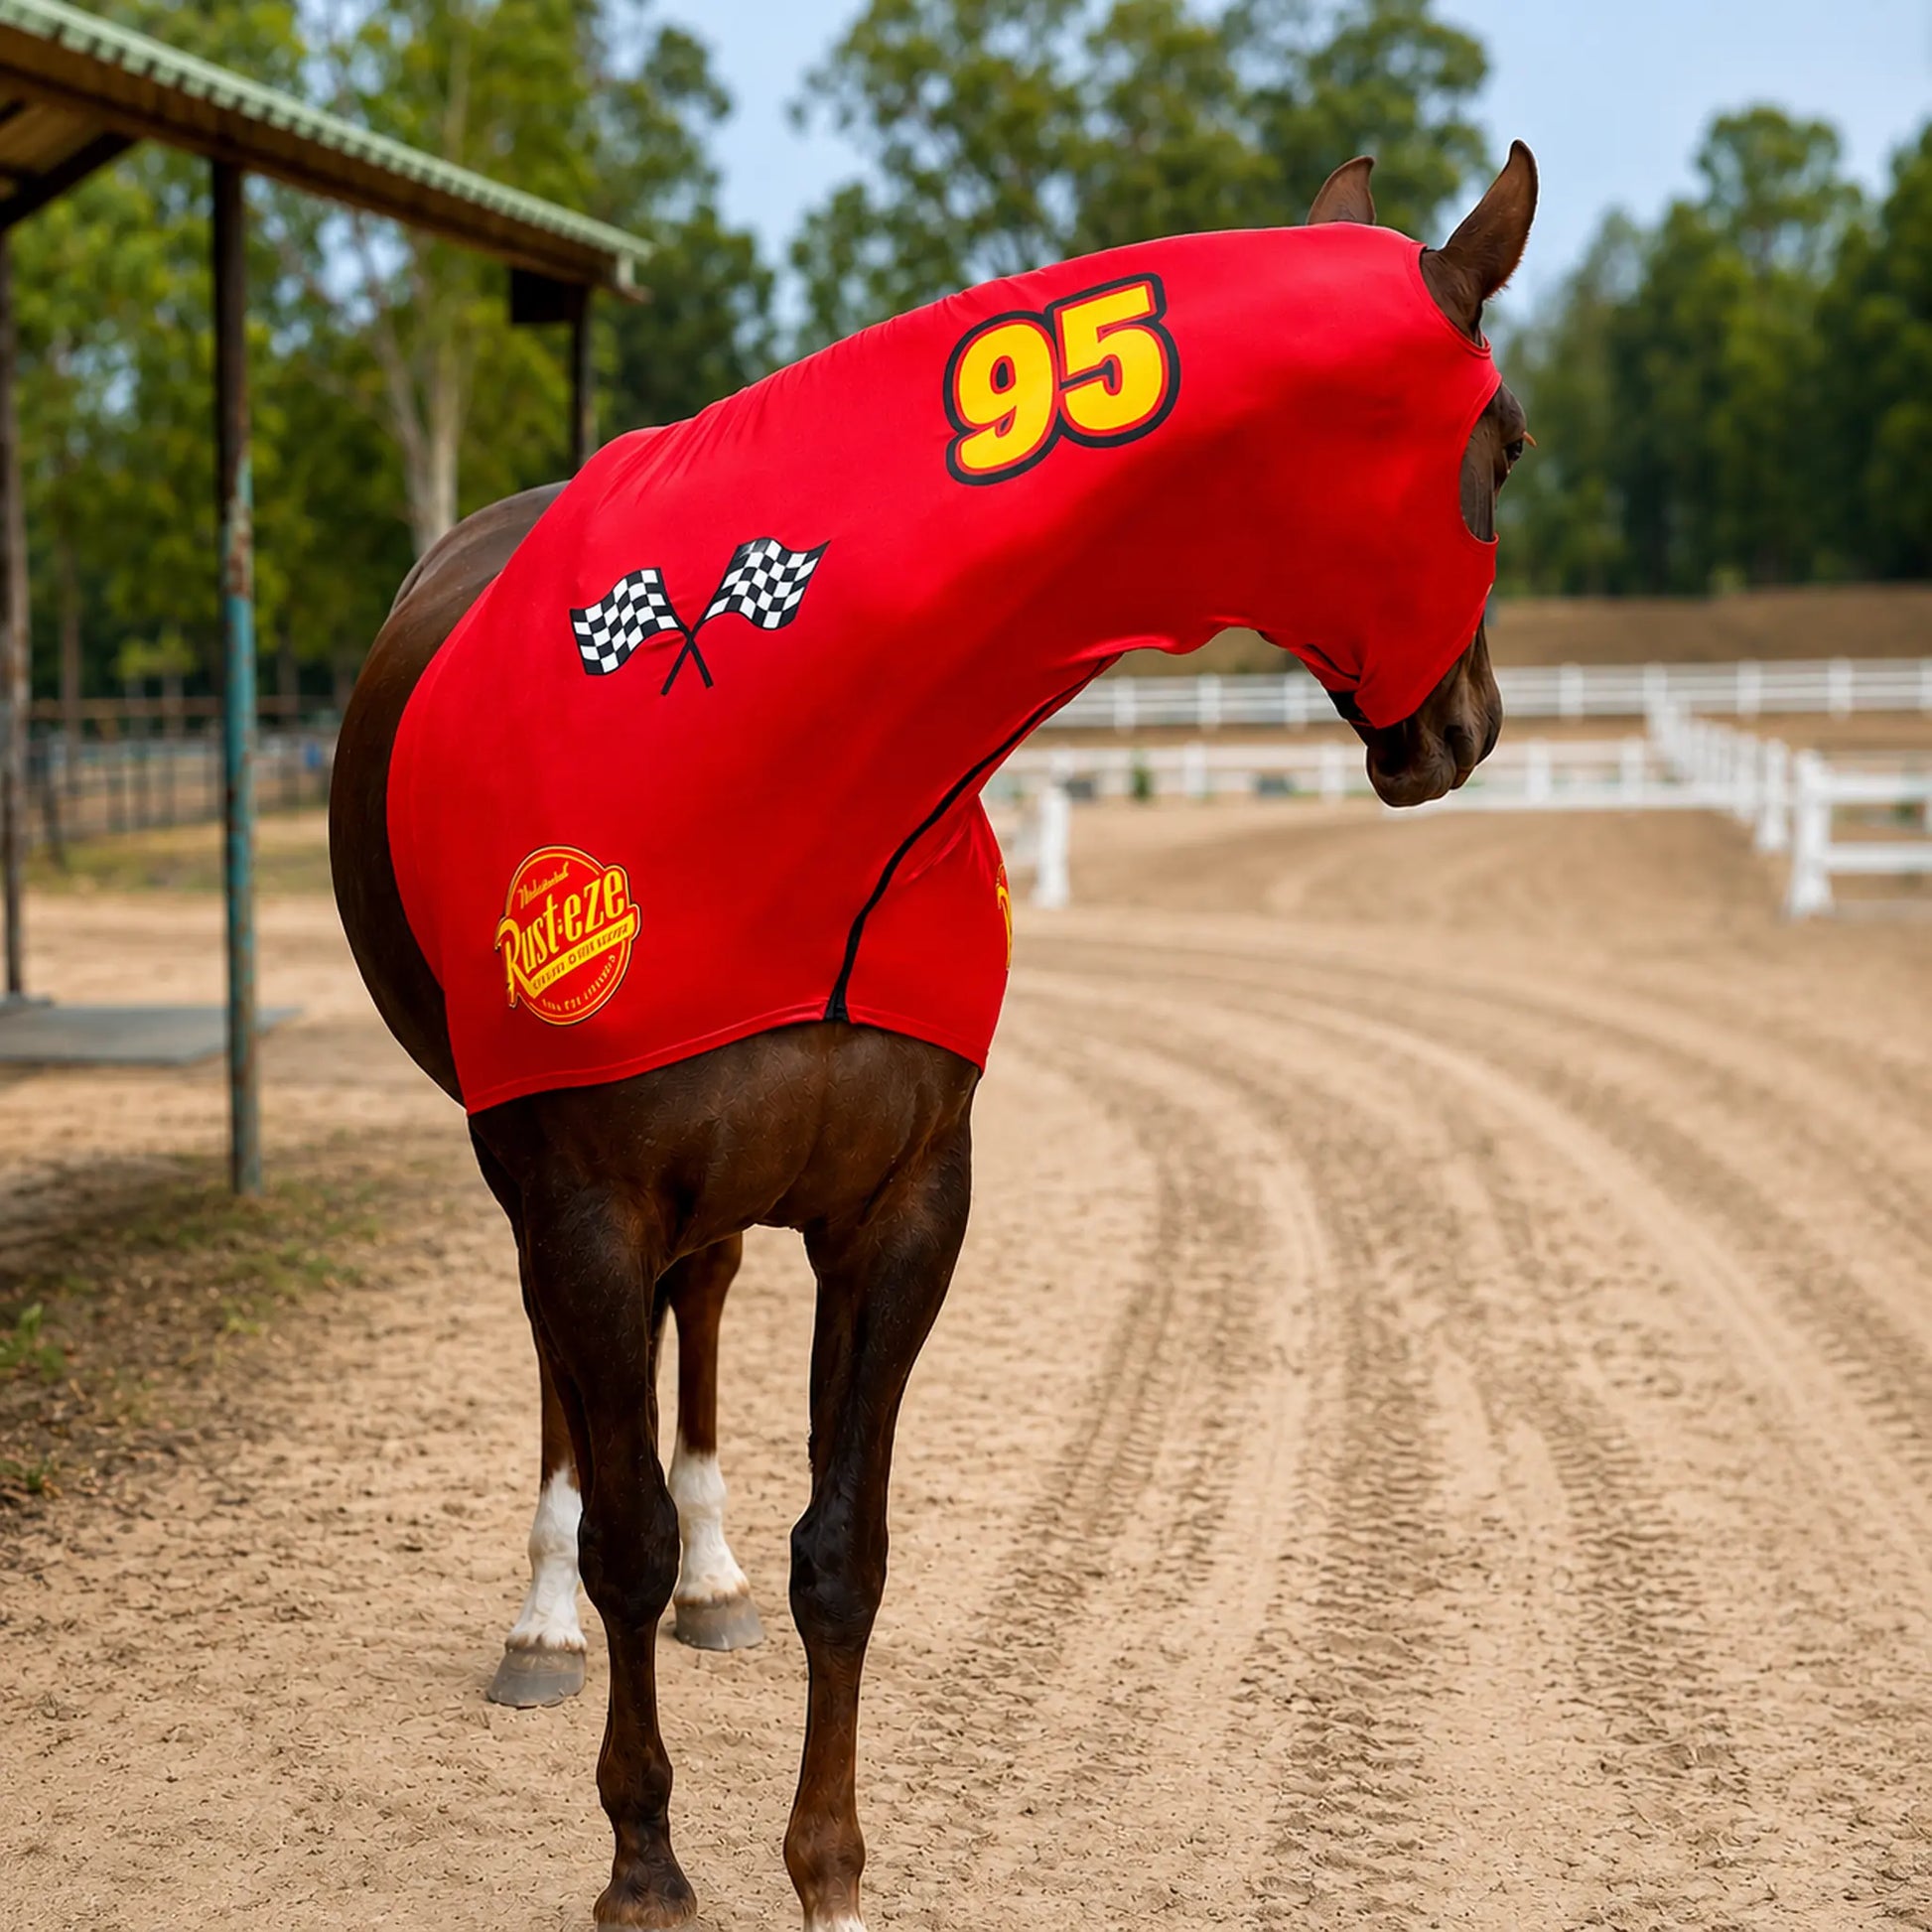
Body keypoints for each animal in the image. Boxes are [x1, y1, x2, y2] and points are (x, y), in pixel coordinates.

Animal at [330, 145, 1536, 1932]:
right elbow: (617, 1524)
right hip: (525, 1178)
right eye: (1502, 442)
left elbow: (847, 1552)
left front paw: (827, 1867)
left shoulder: (901, 1210)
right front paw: (644, 1859)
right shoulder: (582, 1203)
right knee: (571, 1399)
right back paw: (541, 1618)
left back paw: (712, 1578)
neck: (805, 763)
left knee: (705, 1316)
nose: (1468, 727)